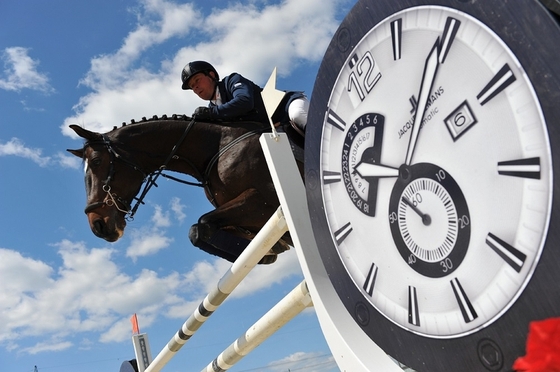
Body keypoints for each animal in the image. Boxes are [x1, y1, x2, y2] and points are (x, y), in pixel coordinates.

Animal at [65, 115, 302, 264]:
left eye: (97, 162)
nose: (97, 225)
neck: (217, 147)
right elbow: (199, 230)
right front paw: (268, 252)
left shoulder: (265, 200)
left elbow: (203, 224)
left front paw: (267, 253)